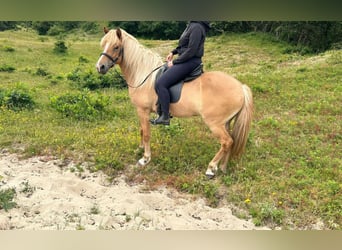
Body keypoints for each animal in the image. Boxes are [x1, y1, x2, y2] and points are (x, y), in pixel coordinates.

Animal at [95, 27, 252, 178]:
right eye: (103, 45)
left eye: (116, 47)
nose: (100, 67)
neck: (143, 75)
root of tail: (241, 87)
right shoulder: (141, 111)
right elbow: (141, 130)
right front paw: (139, 149)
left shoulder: (143, 110)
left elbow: (146, 134)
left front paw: (145, 158)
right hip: (226, 122)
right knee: (231, 141)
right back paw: (223, 167)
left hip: (214, 123)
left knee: (227, 141)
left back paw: (211, 168)